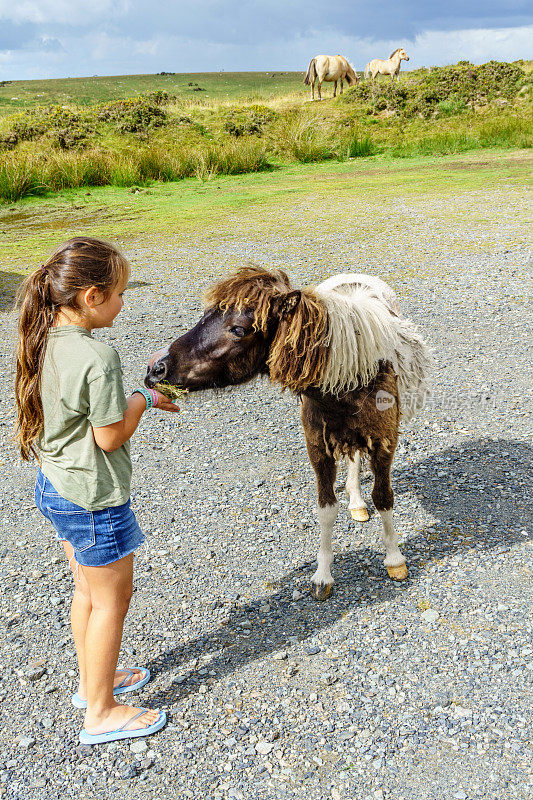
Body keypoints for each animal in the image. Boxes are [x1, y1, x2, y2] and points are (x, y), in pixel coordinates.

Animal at [147, 268, 432, 600]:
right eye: (204, 316)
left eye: (238, 329)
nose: (155, 369)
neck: (351, 379)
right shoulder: (318, 449)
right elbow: (326, 509)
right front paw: (323, 576)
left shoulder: (384, 443)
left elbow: (384, 498)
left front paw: (395, 560)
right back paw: (356, 503)